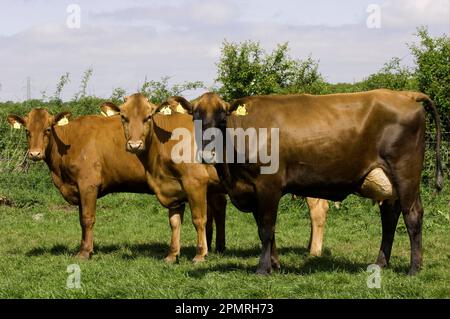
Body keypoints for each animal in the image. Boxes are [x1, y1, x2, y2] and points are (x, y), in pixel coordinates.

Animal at [7, 109, 229, 262]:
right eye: (27, 131)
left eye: (47, 129)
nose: (34, 154)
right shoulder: (78, 188)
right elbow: (81, 220)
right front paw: (84, 247)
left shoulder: (88, 184)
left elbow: (87, 219)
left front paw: (85, 252)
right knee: (219, 208)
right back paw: (218, 246)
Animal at [173, 89, 442, 276]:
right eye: (196, 118)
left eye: (222, 119)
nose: (208, 153)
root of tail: (404, 94)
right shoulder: (253, 190)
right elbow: (265, 229)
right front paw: (275, 264)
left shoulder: (268, 186)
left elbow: (266, 228)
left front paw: (263, 268)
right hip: (388, 183)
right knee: (390, 217)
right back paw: (380, 263)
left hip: (405, 173)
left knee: (412, 215)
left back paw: (414, 268)